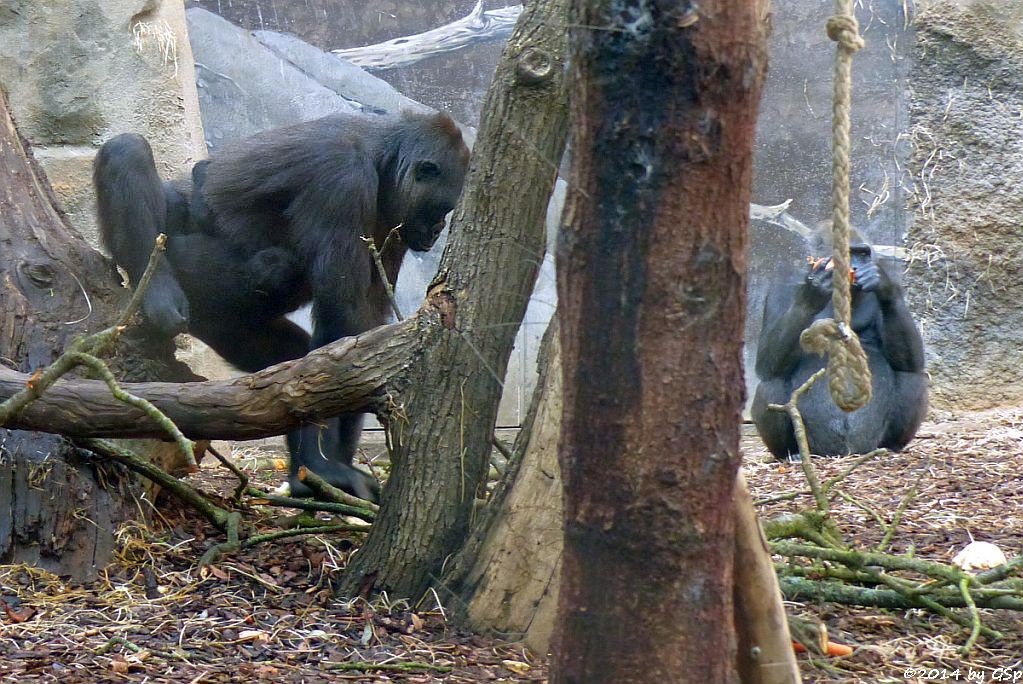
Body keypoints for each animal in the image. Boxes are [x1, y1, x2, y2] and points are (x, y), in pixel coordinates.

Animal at [94, 109, 468, 498]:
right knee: (129, 152)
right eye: (441, 208)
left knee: (287, 354)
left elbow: (362, 332)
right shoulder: (343, 175)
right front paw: (323, 465)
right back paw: (157, 290)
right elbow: (342, 320)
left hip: (223, 326)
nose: (437, 230)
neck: (383, 157)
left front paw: (330, 464)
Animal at [752, 235, 928, 458]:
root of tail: (843, 453)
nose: (854, 266)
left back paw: (891, 446)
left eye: (862, 254)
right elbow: (767, 363)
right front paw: (814, 290)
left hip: (868, 443)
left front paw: (882, 285)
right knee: (770, 384)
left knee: (912, 377)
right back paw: (791, 453)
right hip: (817, 447)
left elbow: (910, 361)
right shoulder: (782, 285)